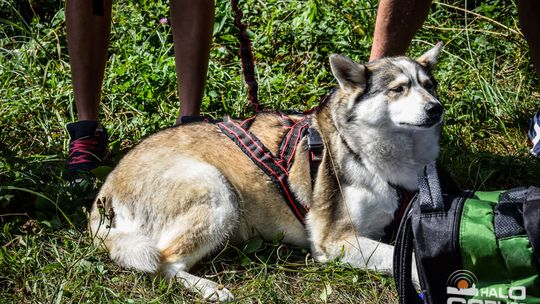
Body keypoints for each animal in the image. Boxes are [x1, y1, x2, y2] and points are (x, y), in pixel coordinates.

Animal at [88, 42, 442, 302]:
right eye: (398, 89)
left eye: (429, 86)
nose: (436, 108)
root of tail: (106, 190)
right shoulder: (335, 239)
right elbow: (405, 259)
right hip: (216, 190)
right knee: (164, 263)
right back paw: (211, 290)